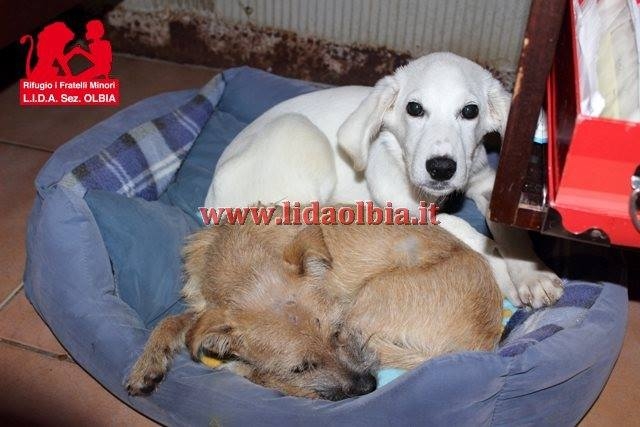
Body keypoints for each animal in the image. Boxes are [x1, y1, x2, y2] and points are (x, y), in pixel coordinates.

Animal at [126, 208, 502, 399]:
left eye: (337, 333)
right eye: (301, 367)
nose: (369, 387)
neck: (245, 263)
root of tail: (480, 343)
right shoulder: (209, 310)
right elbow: (175, 321)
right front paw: (147, 364)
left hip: (369, 300)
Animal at [205, 52, 563, 309]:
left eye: (470, 111)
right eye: (414, 108)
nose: (441, 168)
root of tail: (211, 204)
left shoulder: (489, 184)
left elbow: (507, 224)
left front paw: (531, 274)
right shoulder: (405, 206)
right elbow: (466, 230)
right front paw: (503, 272)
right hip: (299, 133)